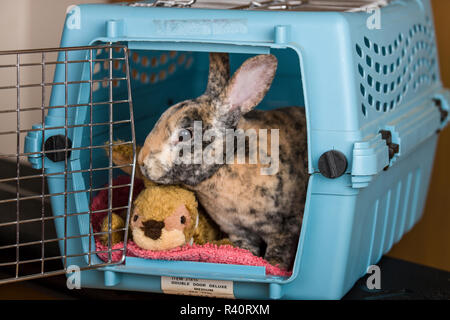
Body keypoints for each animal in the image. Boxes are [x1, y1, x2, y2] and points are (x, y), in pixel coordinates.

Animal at [139, 53, 308, 270]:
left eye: (185, 135)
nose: (142, 162)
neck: (226, 163)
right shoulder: (237, 232)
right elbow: (246, 251)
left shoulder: (284, 230)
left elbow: (278, 255)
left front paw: (272, 266)